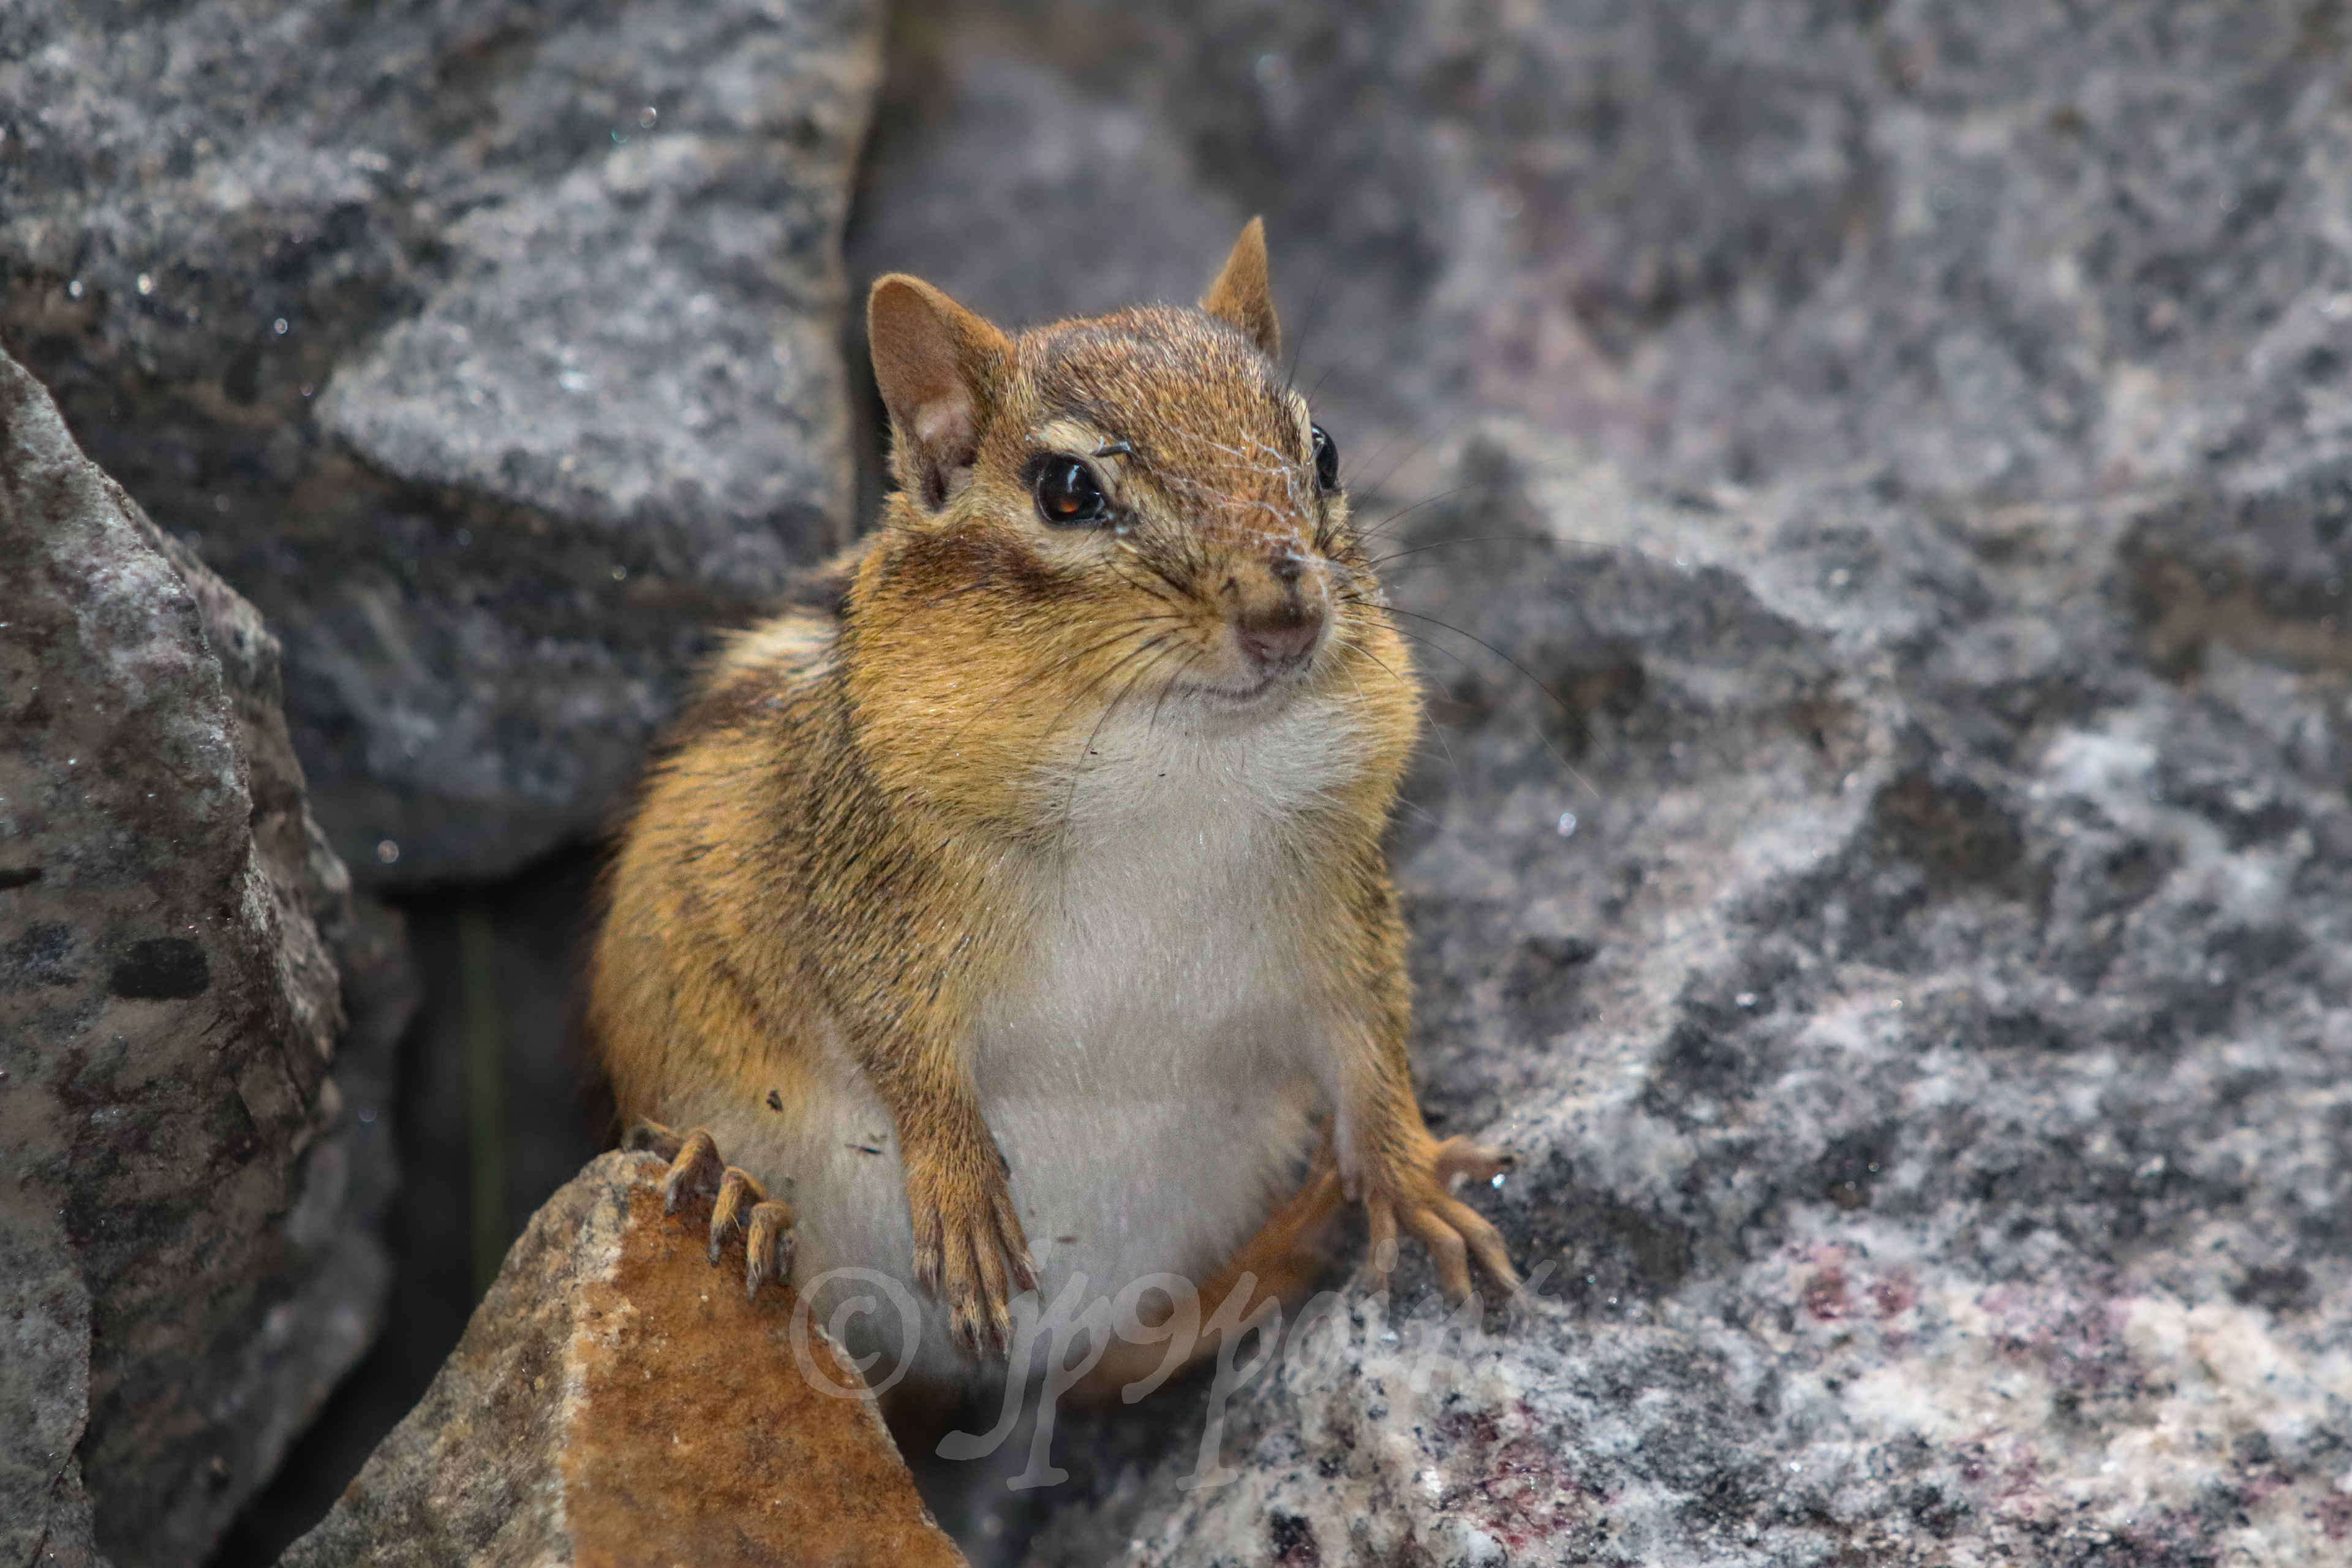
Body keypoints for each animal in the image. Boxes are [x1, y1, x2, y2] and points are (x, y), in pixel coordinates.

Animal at [588, 219, 1517, 1396]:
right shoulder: (868, 908)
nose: (1286, 613)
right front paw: (959, 1188)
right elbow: (904, 1051)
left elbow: (1373, 1039)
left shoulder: (1339, 910)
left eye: (1326, 450)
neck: (1174, 762)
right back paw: (736, 1191)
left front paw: (1412, 1174)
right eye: (1068, 489)